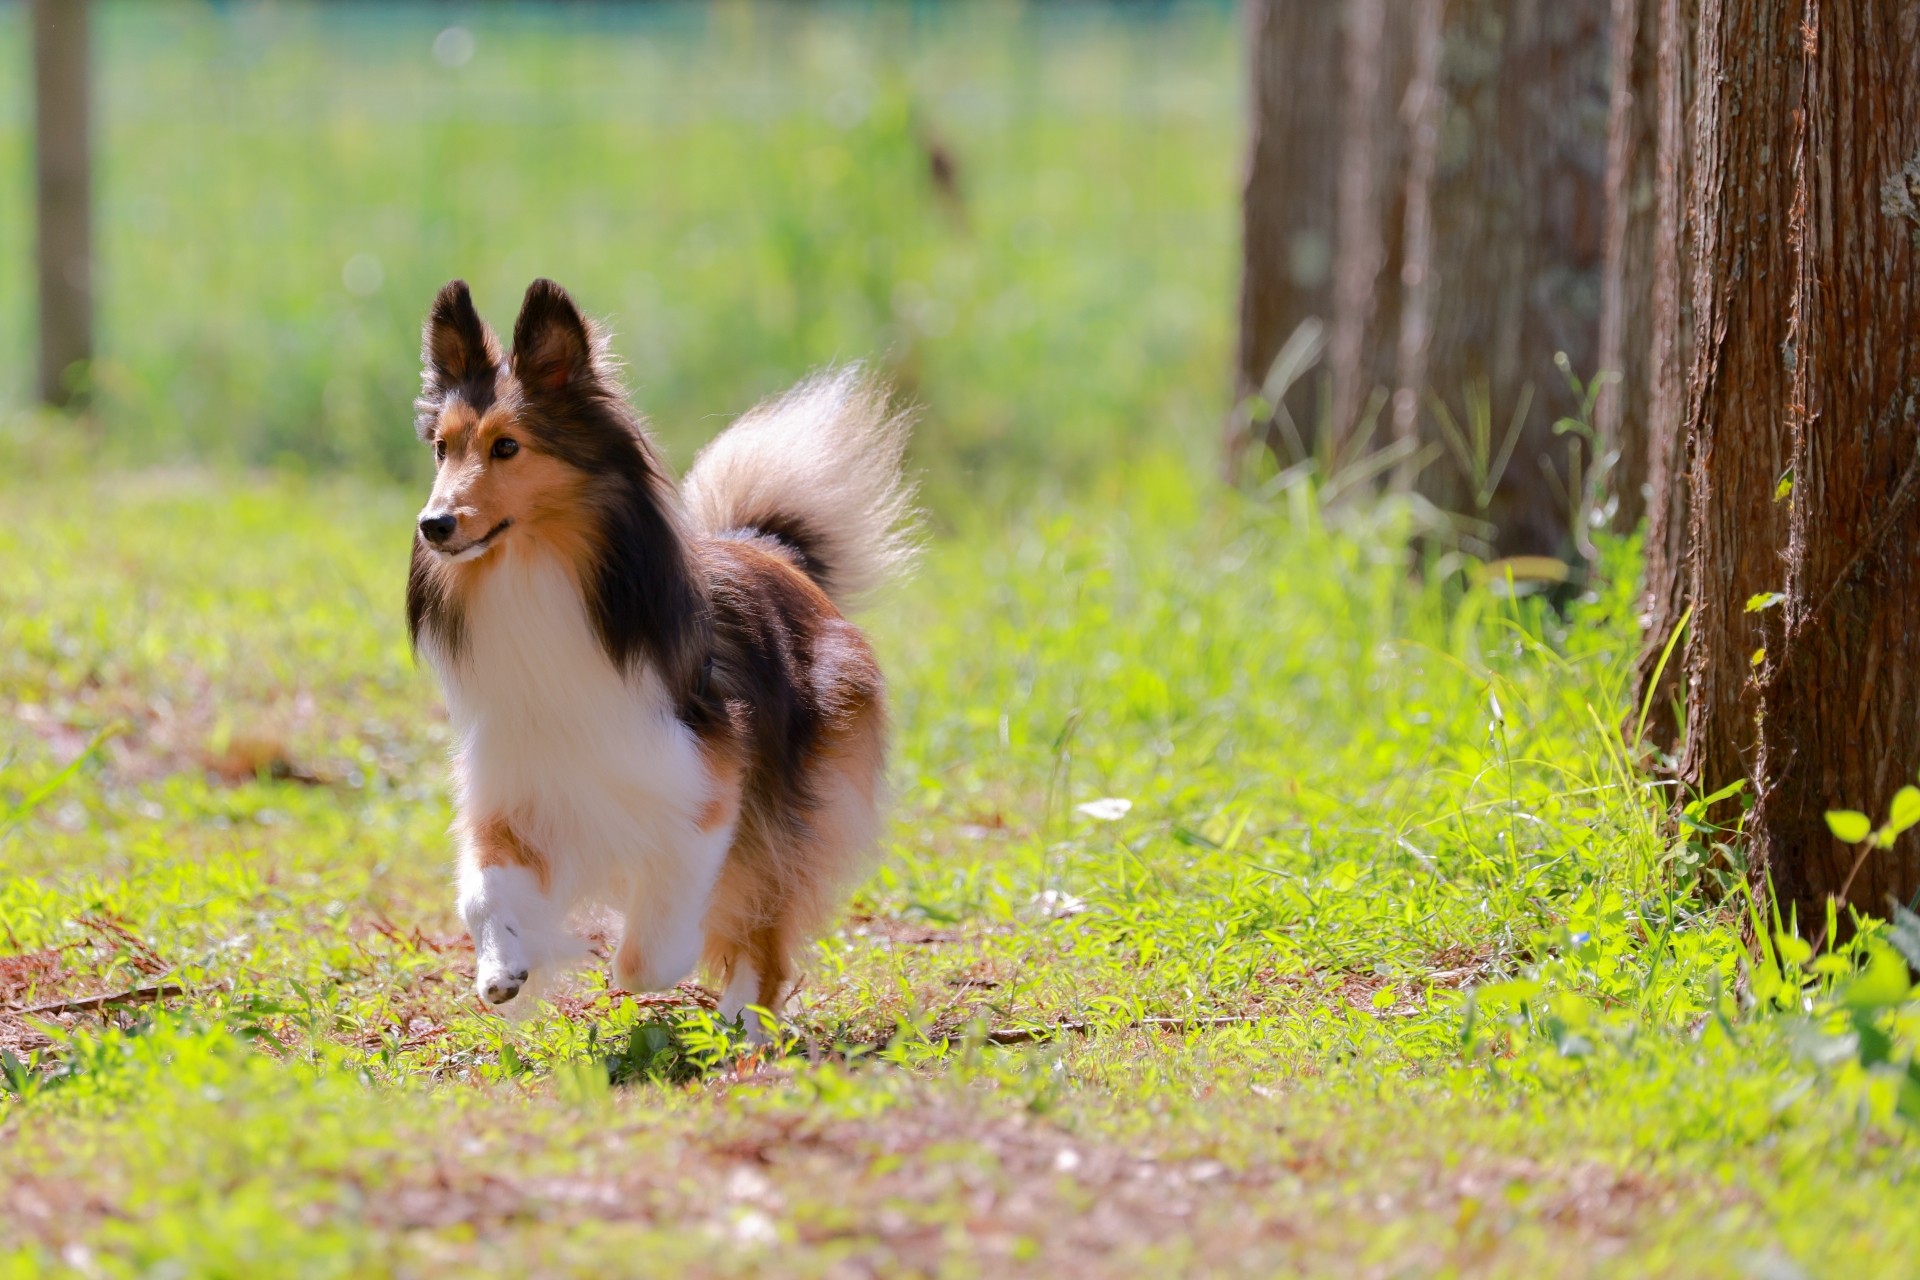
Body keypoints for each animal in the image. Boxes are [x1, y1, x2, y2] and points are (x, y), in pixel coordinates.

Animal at [407, 280, 913, 1043]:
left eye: (506, 446)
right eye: (441, 448)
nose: (433, 525)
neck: (537, 576)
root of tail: (771, 549)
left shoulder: (700, 782)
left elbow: (652, 949)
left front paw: (647, 963)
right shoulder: (516, 782)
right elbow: (481, 890)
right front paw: (505, 969)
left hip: (791, 804)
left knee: (763, 931)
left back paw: (744, 1024)